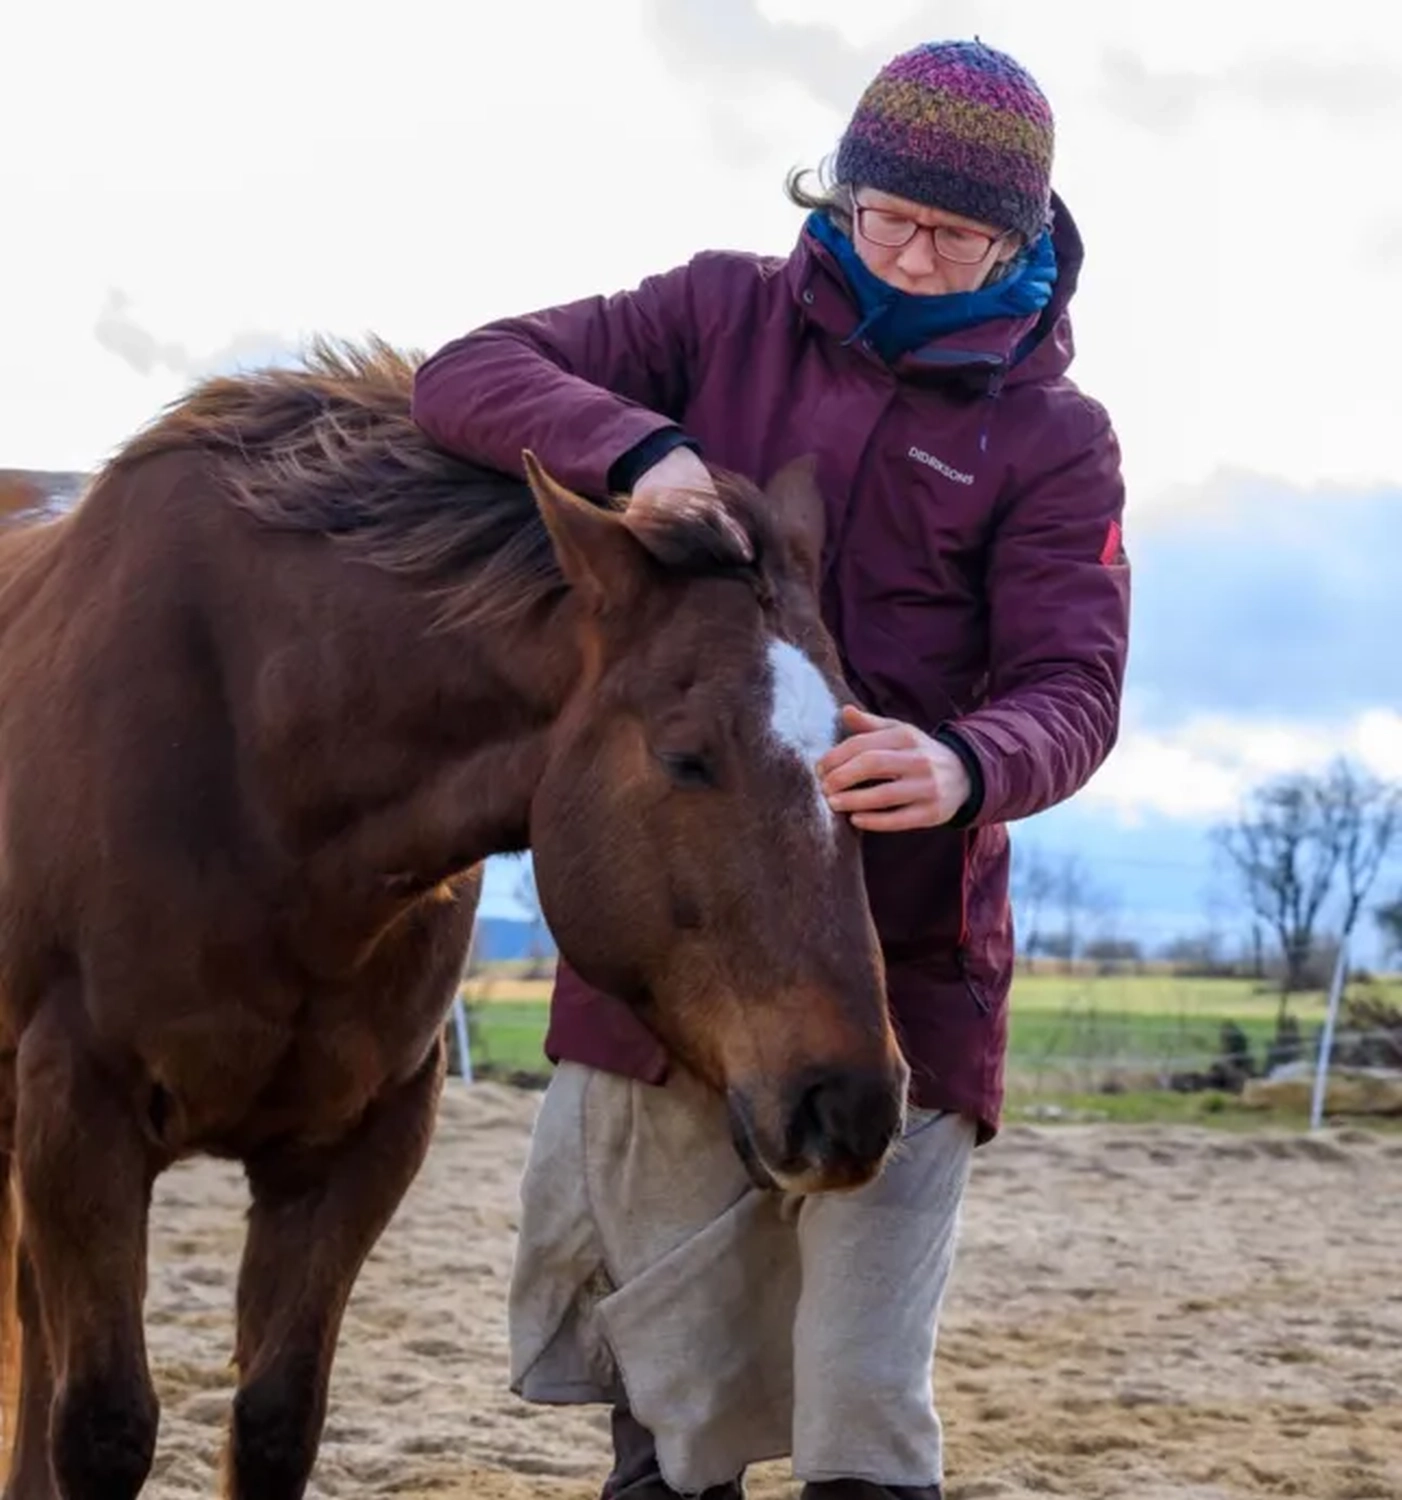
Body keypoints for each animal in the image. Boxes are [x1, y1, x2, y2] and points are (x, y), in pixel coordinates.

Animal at [0, 343, 905, 1500]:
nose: (850, 1102)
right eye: (686, 755)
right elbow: (104, 1425)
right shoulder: (83, 1112)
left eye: (862, 752)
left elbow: (275, 1419)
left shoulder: (358, 1146)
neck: (256, 766)